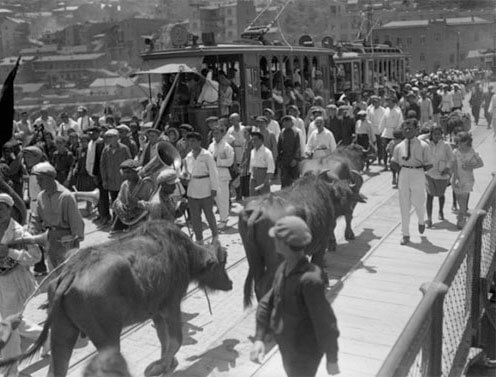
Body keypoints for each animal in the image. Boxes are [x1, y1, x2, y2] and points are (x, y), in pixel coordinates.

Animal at [0, 220, 232, 376]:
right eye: (222, 263)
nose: (230, 283)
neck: (185, 254)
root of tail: (71, 272)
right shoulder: (171, 305)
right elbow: (175, 340)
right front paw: (162, 365)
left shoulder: (155, 310)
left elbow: (163, 339)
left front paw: (166, 363)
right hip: (107, 338)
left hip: (62, 331)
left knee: (58, 367)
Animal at [238, 172, 358, 306]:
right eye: (346, 193)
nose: (350, 209)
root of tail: (258, 210)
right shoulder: (322, 243)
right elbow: (318, 262)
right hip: (275, 260)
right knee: (264, 285)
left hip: (254, 259)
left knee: (258, 283)